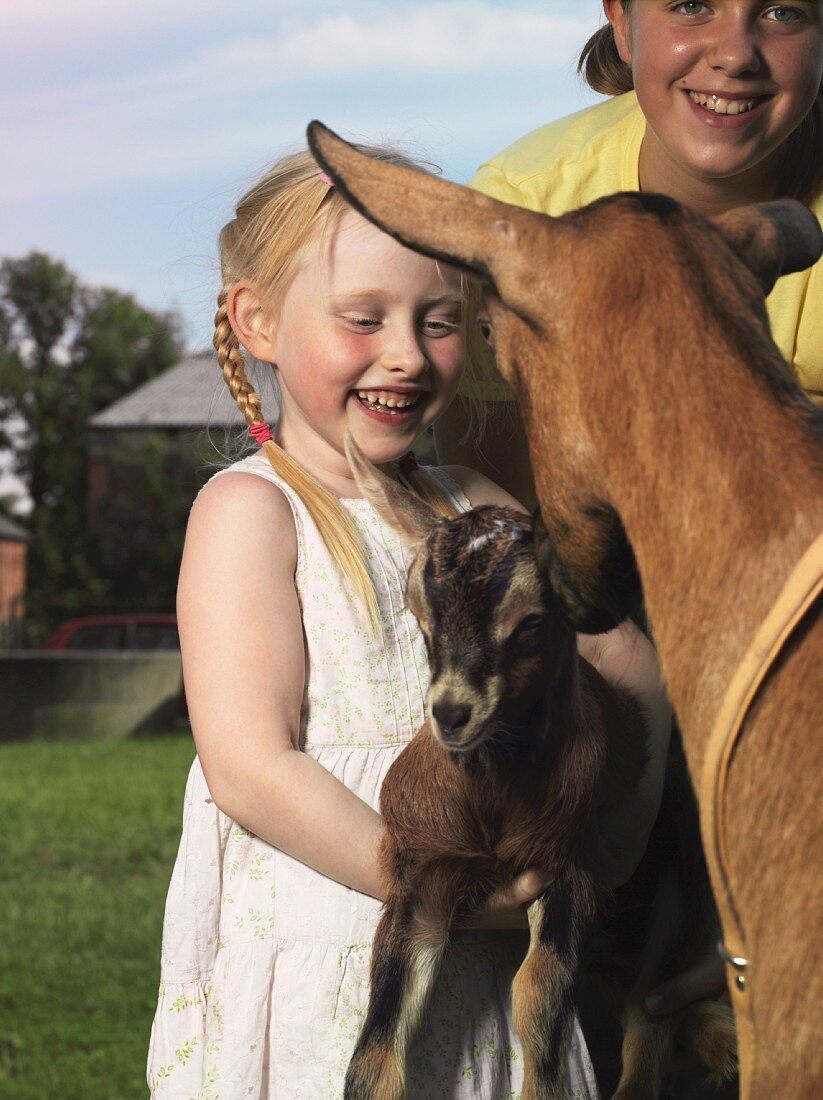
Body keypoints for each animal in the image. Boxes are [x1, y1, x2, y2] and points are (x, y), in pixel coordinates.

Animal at [343, 437, 734, 1100]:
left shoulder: (570, 862)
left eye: (530, 621)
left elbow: (541, 992)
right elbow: (378, 1034)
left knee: (653, 1003)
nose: (451, 714)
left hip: (682, 878)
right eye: (420, 615)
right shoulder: (421, 876)